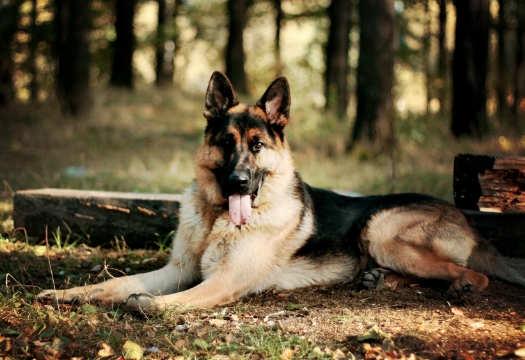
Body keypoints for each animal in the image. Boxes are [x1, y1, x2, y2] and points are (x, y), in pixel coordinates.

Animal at [37, 71, 524, 310]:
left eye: (257, 146)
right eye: (225, 143)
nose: (237, 182)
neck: (215, 218)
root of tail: (469, 222)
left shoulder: (220, 282)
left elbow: (156, 303)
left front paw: (140, 304)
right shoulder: (177, 270)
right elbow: (115, 283)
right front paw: (66, 295)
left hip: (381, 229)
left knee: (471, 273)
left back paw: (460, 286)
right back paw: (378, 278)